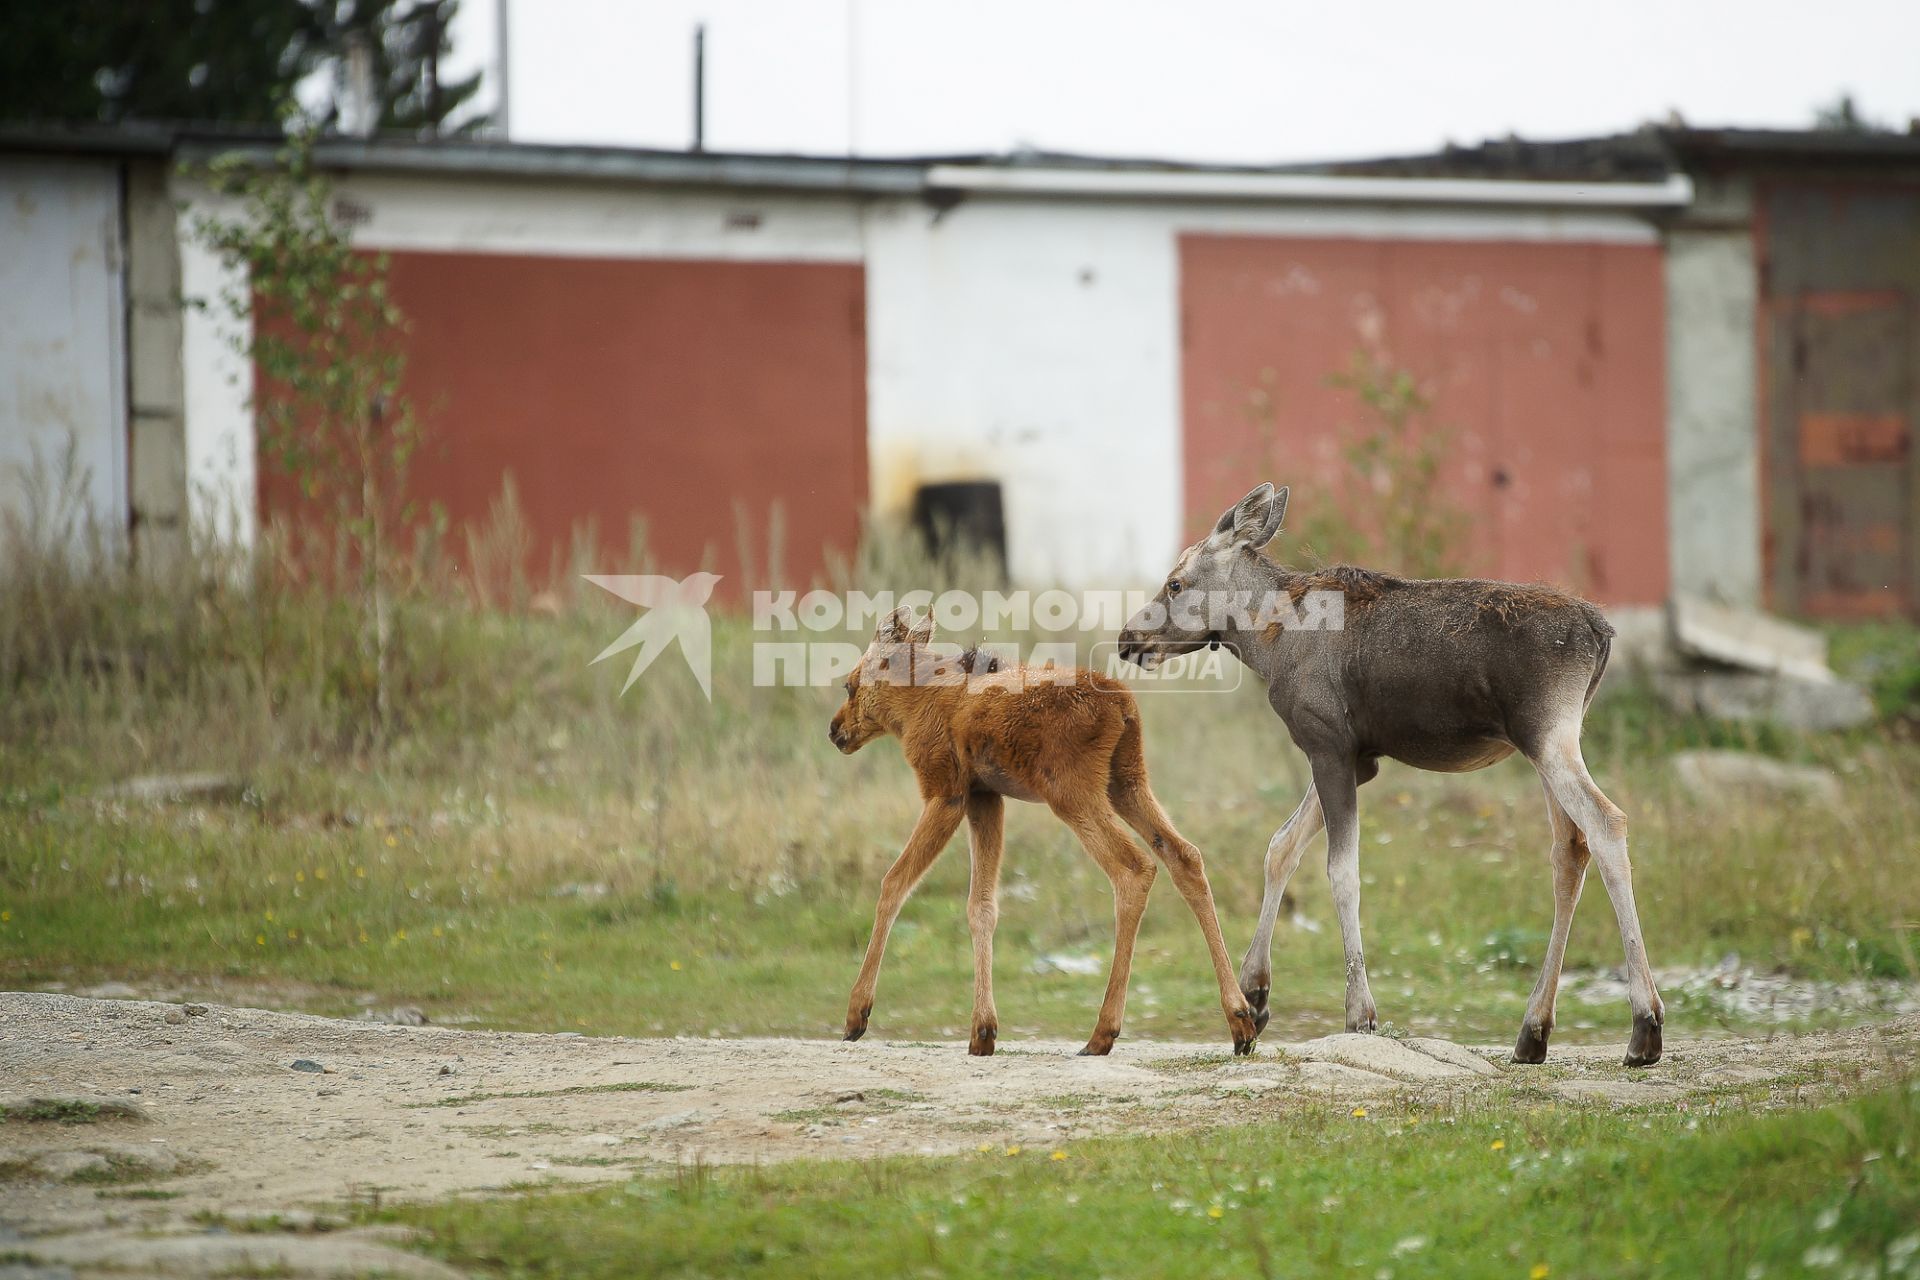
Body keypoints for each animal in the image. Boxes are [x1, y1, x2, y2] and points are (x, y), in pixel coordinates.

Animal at [829, 606, 1259, 1059]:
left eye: (850, 685)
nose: (835, 729)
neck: (912, 708)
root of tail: (1123, 706)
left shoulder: (946, 793)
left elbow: (893, 884)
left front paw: (857, 1013)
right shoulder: (985, 796)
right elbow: (981, 907)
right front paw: (983, 1030)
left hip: (1071, 793)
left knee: (1134, 868)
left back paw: (1102, 1031)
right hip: (1127, 783)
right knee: (1185, 856)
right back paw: (1240, 1020)